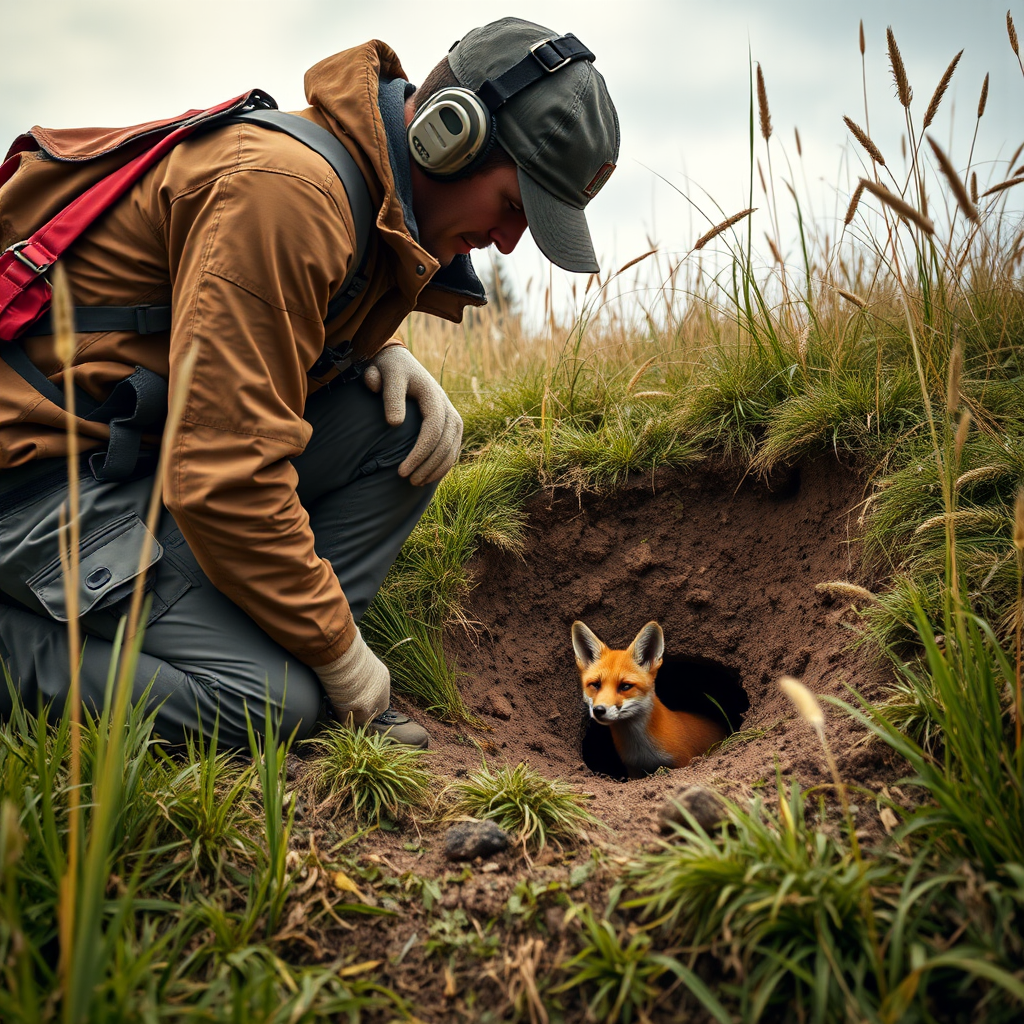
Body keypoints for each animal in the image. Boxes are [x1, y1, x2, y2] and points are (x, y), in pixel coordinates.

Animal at [571, 620, 727, 779]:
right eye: (596, 685)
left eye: (625, 686)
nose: (599, 710)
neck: (643, 752)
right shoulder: (633, 769)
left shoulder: (682, 760)